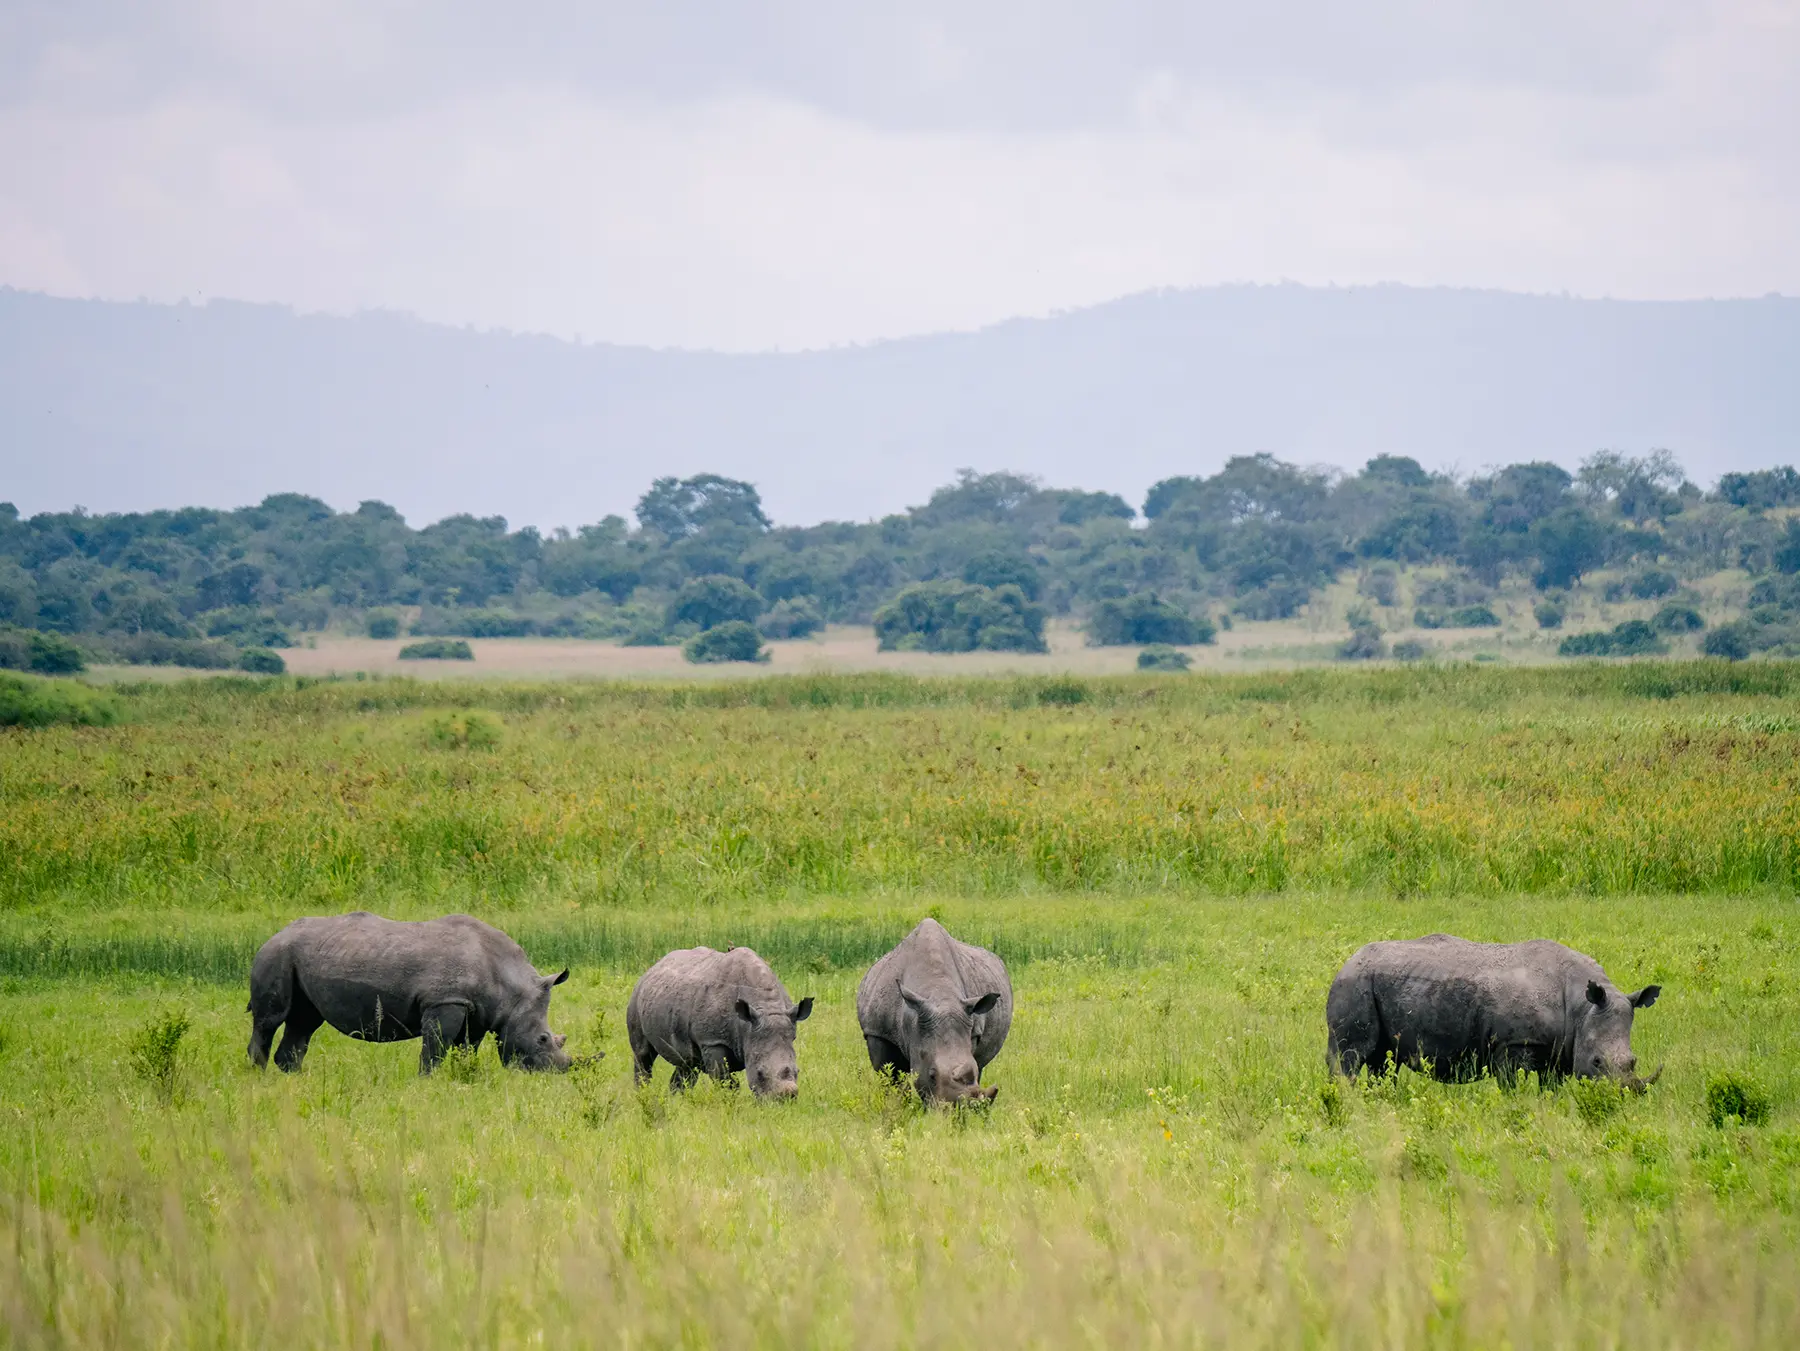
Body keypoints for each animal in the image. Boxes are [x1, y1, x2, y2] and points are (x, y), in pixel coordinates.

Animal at [247, 912, 573, 1074]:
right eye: (542, 1039)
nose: (556, 1072)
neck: (512, 990)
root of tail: (276, 933)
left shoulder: (479, 1012)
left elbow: (466, 1048)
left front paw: (463, 1077)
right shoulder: (445, 1001)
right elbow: (436, 1046)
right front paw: (429, 1081)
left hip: (298, 957)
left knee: (304, 1021)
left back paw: (294, 1080)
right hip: (276, 954)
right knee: (270, 1020)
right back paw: (260, 1079)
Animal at [626, 946, 814, 1098]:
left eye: (797, 1071)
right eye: (760, 1074)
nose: (784, 1100)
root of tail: (653, 967)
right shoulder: (712, 1041)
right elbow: (726, 1083)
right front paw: (729, 1104)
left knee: (687, 1064)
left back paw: (678, 1101)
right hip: (636, 996)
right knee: (643, 1055)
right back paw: (643, 1095)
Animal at [857, 918, 1012, 1104]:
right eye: (931, 1075)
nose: (957, 1108)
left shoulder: (972, 1031)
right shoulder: (878, 1032)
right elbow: (891, 1078)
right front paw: (897, 1106)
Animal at [1327, 934, 1662, 1089]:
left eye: (1634, 1061)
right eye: (1596, 1062)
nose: (1620, 1097)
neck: (1580, 1005)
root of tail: (1348, 959)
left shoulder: (1560, 1048)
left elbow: (1551, 1088)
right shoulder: (1512, 1044)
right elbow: (1510, 1086)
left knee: (1383, 1060)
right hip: (1354, 983)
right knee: (1350, 1054)